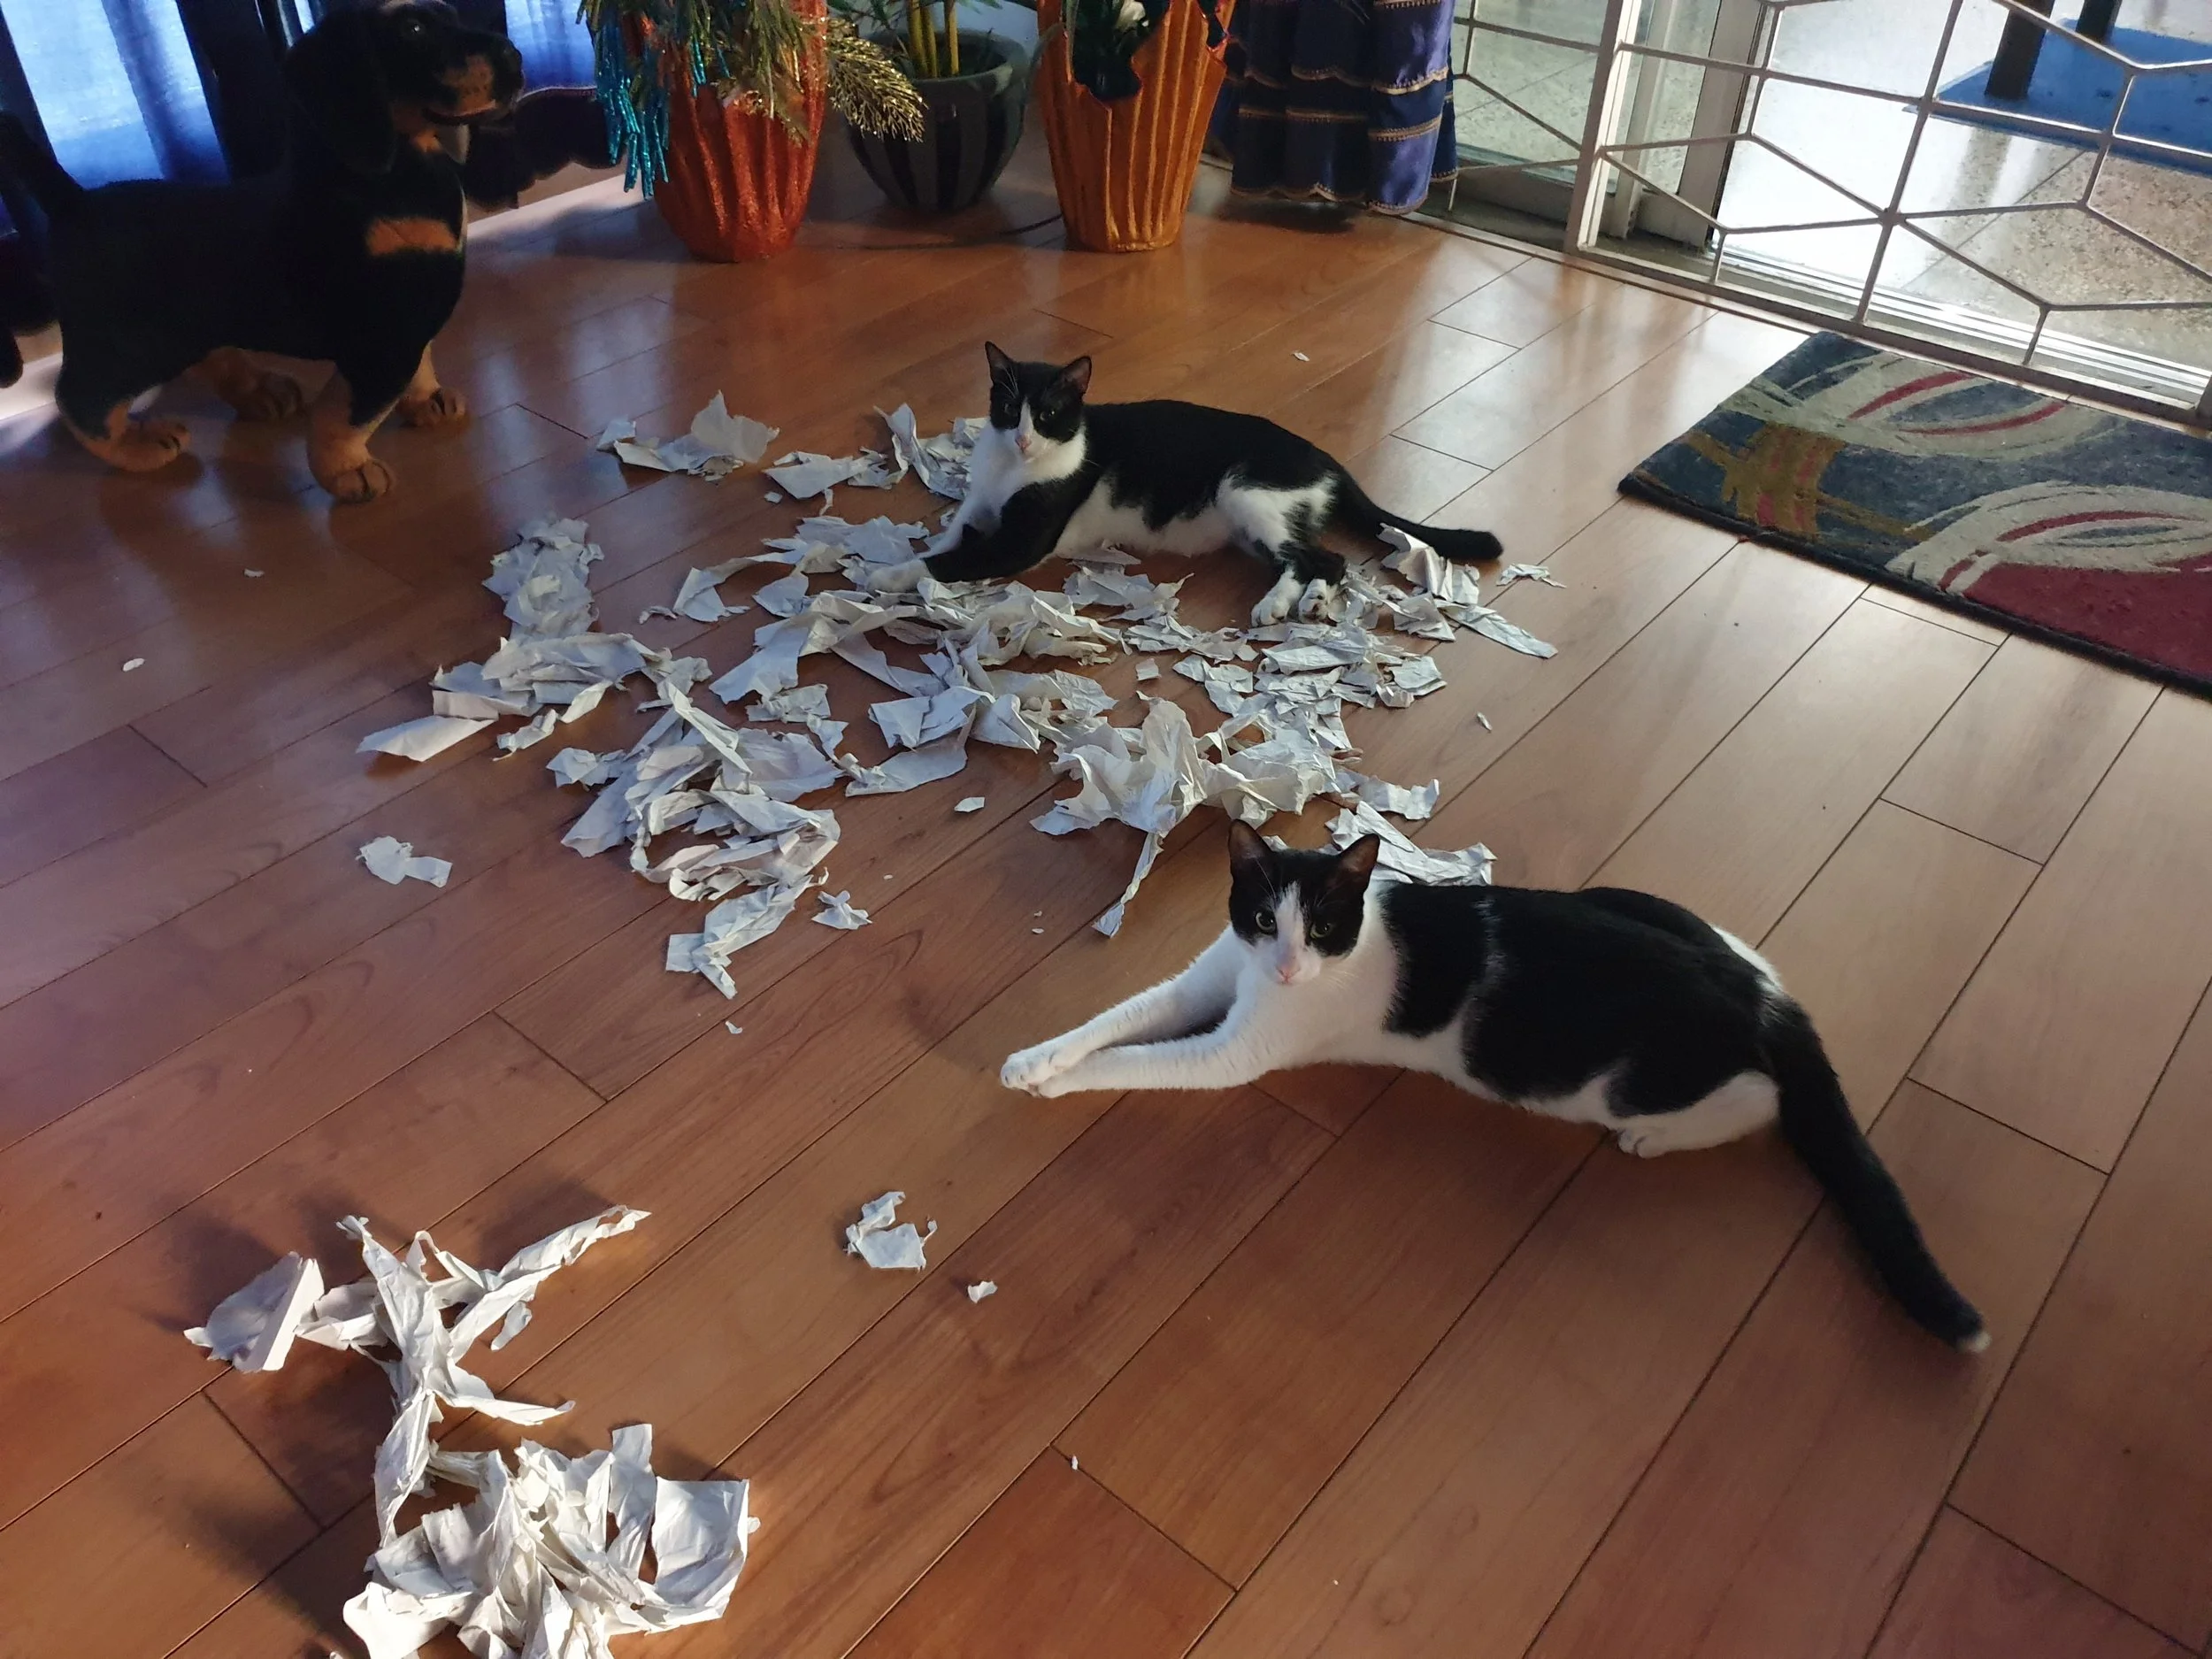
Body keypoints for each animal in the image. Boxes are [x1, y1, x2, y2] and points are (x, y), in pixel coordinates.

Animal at [0, 2, 523, 503]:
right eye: (413, 30)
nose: (514, 57)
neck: (391, 180)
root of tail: (74, 202)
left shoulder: (416, 317)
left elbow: (422, 362)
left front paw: (424, 400)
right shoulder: (382, 339)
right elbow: (347, 413)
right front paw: (346, 470)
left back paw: (257, 391)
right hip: (132, 342)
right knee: (79, 399)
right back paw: (137, 445)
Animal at [877, 344, 1505, 625]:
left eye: (1051, 415)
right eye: (1009, 409)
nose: (1026, 439)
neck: (1011, 471)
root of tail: (1327, 457)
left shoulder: (1021, 540)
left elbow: (951, 559)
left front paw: (888, 574)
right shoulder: (978, 508)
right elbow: (951, 538)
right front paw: (906, 556)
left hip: (1248, 494)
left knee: (1316, 557)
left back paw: (1275, 605)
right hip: (1254, 525)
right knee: (1323, 560)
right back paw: (1304, 601)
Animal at [1002, 823, 1988, 1352]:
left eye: (1320, 928)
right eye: (1259, 916)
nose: (1284, 965)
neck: (1262, 978)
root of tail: (1761, 995)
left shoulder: (1235, 1052)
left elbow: (1141, 1059)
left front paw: (1061, 1083)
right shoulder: (1203, 982)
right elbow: (1122, 1016)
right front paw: (1034, 1059)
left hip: (1603, 1078)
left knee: (1761, 1099)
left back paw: (1654, 1138)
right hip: (1638, 900)